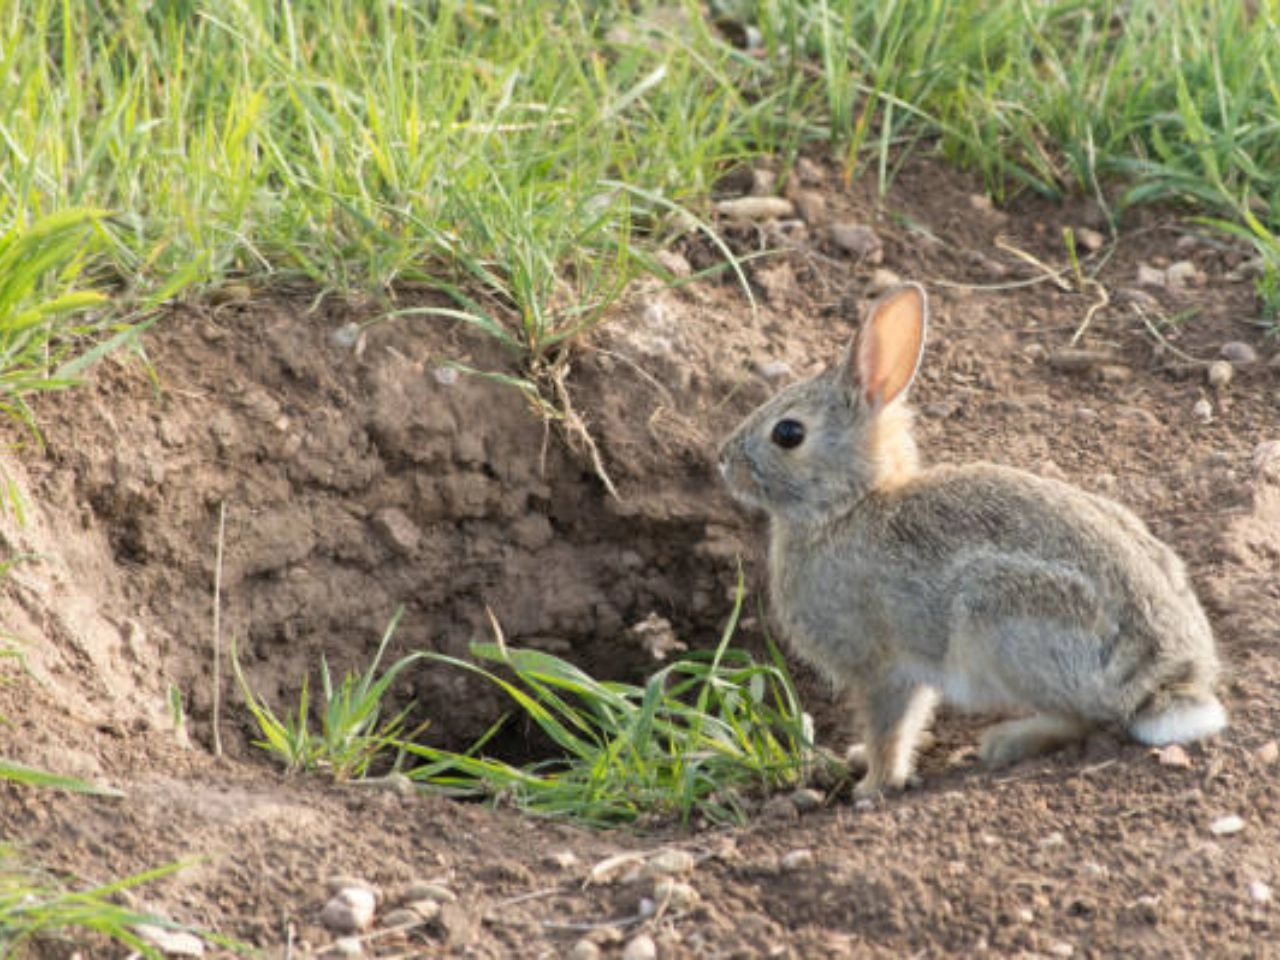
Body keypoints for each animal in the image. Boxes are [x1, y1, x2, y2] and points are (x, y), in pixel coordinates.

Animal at [721, 284, 1228, 798]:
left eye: (788, 433)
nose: (724, 460)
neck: (849, 505)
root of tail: (1166, 681)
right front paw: (862, 760)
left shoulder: (884, 666)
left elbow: (890, 728)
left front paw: (873, 786)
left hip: (998, 618)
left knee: (1087, 718)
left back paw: (1007, 740)